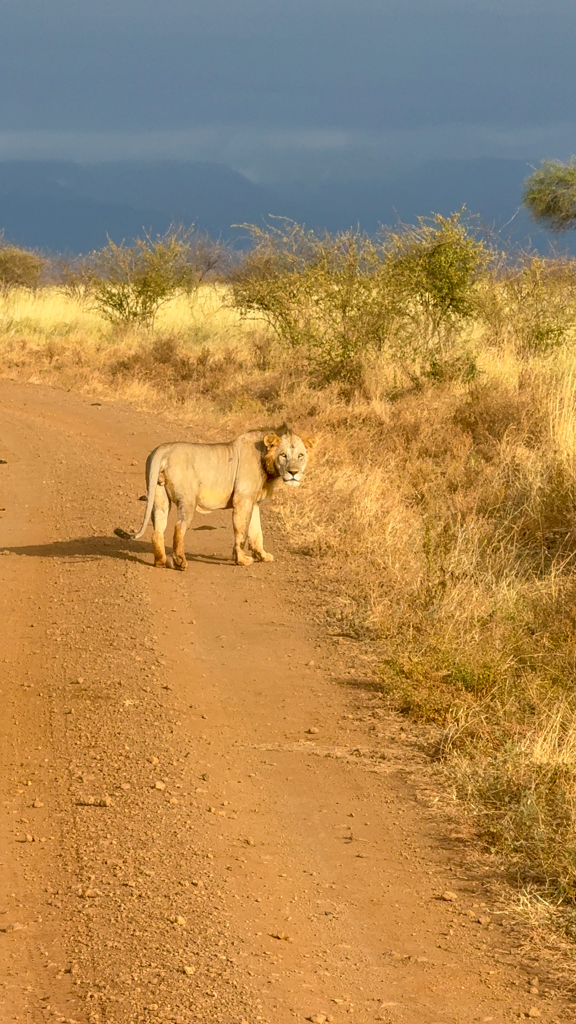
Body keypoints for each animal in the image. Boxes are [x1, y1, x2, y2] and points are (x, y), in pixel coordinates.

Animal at [114, 426, 317, 570]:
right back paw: (180, 562)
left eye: (300, 455)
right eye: (283, 455)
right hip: (188, 499)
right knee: (178, 527)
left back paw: (161, 562)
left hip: (159, 497)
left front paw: (262, 555)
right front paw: (242, 560)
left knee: (157, 531)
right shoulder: (242, 499)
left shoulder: (253, 502)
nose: (293, 473)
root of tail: (162, 450)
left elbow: (256, 532)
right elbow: (242, 532)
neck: (266, 459)